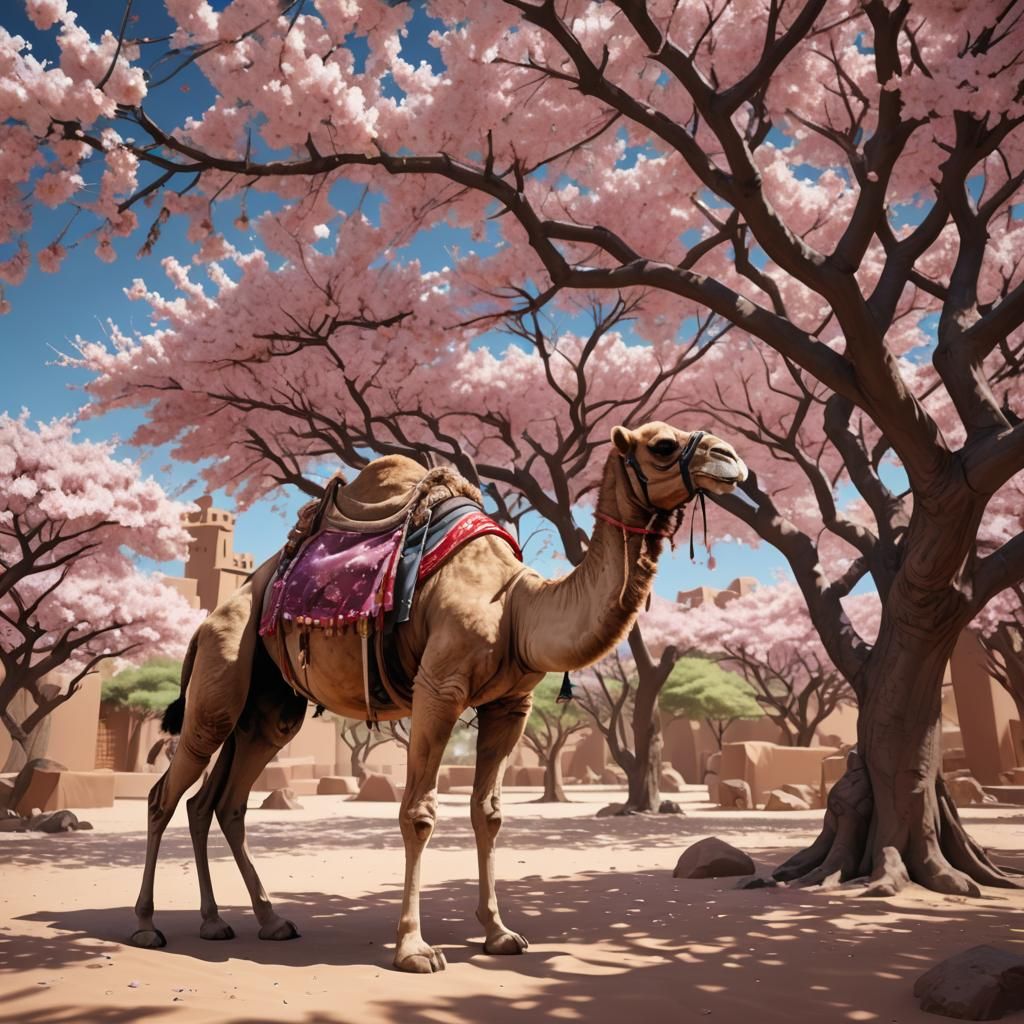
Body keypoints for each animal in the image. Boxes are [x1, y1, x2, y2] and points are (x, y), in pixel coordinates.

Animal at [130, 421, 747, 972]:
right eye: (662, 445)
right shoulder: (439, 690)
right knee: (165, 793)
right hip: (222, 672)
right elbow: (419, 813)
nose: (732, 459)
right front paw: (414, 949)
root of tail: (206, 620)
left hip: (267, 712)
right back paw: (148, 925)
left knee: (218, 803)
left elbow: (488, 812)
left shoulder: (510, 706)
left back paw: (245, 921)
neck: (516, 603)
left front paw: (499, 933)